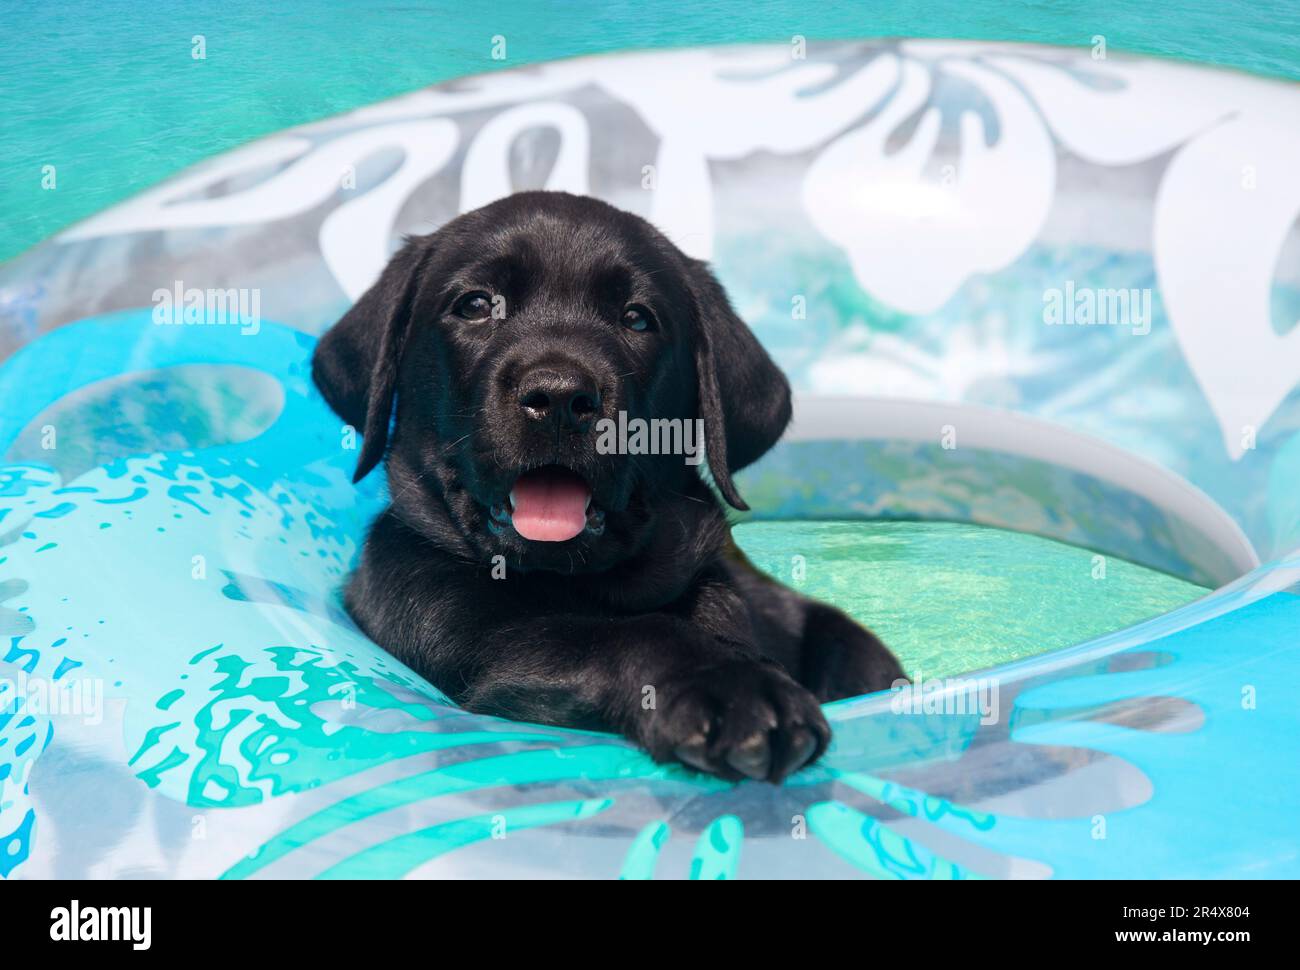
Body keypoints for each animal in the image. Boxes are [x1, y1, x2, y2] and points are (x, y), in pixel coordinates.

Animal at [314, 188, 904, 780]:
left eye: (637, 319)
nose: (558, 396)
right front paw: (732, 688)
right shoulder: (458, 633)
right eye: (476, 305)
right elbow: (617, 634)